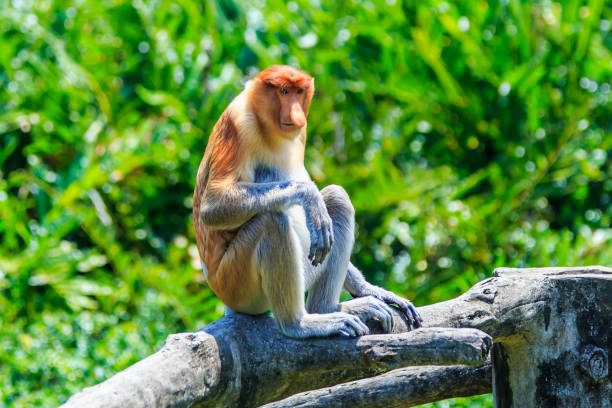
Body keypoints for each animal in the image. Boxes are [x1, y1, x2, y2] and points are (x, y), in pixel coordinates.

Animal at [194, 65, 424, 340]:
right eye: (283, 91)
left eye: (299, 92)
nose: (296, 114)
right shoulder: (238, 124)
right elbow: (213, 206)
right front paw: (309, 196)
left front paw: (372, 289)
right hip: (236, 284)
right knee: (272, 221)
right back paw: (300, 323)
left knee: (337, 197)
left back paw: (328, 308)